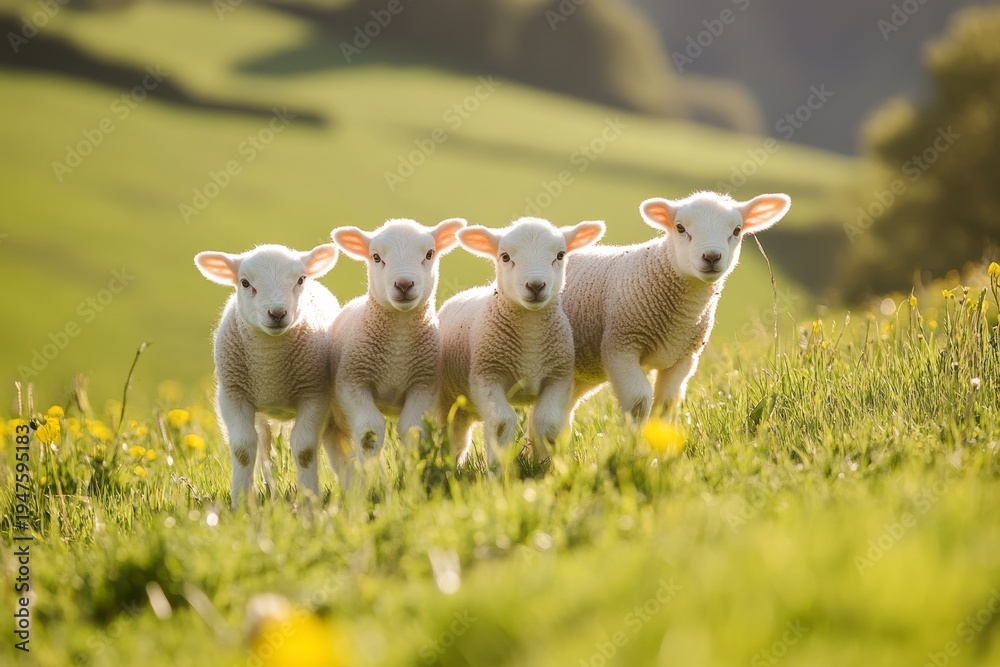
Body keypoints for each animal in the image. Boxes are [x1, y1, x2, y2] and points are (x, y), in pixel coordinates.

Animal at [194, 243, 339, 507]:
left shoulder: (314, 395)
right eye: (244, 283)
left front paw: (309, 501)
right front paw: (241, 504)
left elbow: (304, 449)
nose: (277, 313)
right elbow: (243, 449)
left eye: (300, 279)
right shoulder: (233, 396)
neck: (269, 367)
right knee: (263, 447)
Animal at [327, 217, 467, 474]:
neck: (397, 351)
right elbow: (369, 432)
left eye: (429, 253)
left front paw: (411, 471)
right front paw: (371, 474)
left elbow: (412, 430)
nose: (403, 284)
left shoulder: (424, 385)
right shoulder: (351, 383)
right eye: (376, 257)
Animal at [438, 217, 606, 466]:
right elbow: (501, 423)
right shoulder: (486, 376)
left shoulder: (558, 377)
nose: (535, 286)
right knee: (447, 433)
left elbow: (548, 423)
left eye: (560, 255)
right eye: (505, 256)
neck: (530, 338)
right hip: (446, 397)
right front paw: (498, 468)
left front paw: (548, 465)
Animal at [561, 191, 791, 422]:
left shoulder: (684, 357)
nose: (711, 257)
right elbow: (639, 401)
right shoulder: (621, 346)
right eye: (680, 228)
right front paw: (634, 433)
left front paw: (657, 432)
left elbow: (666, 404)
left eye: (737, 230)